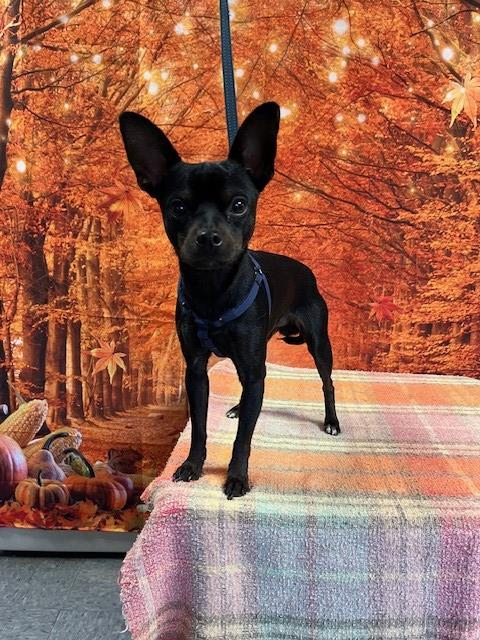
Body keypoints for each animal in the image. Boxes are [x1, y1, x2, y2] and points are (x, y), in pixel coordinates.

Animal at [119, 101, 340, 499]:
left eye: (239, 205)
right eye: (177, 207)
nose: (208, 236)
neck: (213, 291)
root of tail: (306, 271)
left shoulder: (253, 366)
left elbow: (244, 438)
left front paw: (237, 477)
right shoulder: (196, 371)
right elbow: (200, 427)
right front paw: (192, 466)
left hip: (318, 343)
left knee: (327, 382)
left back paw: (331, 420)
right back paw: (239, 406)